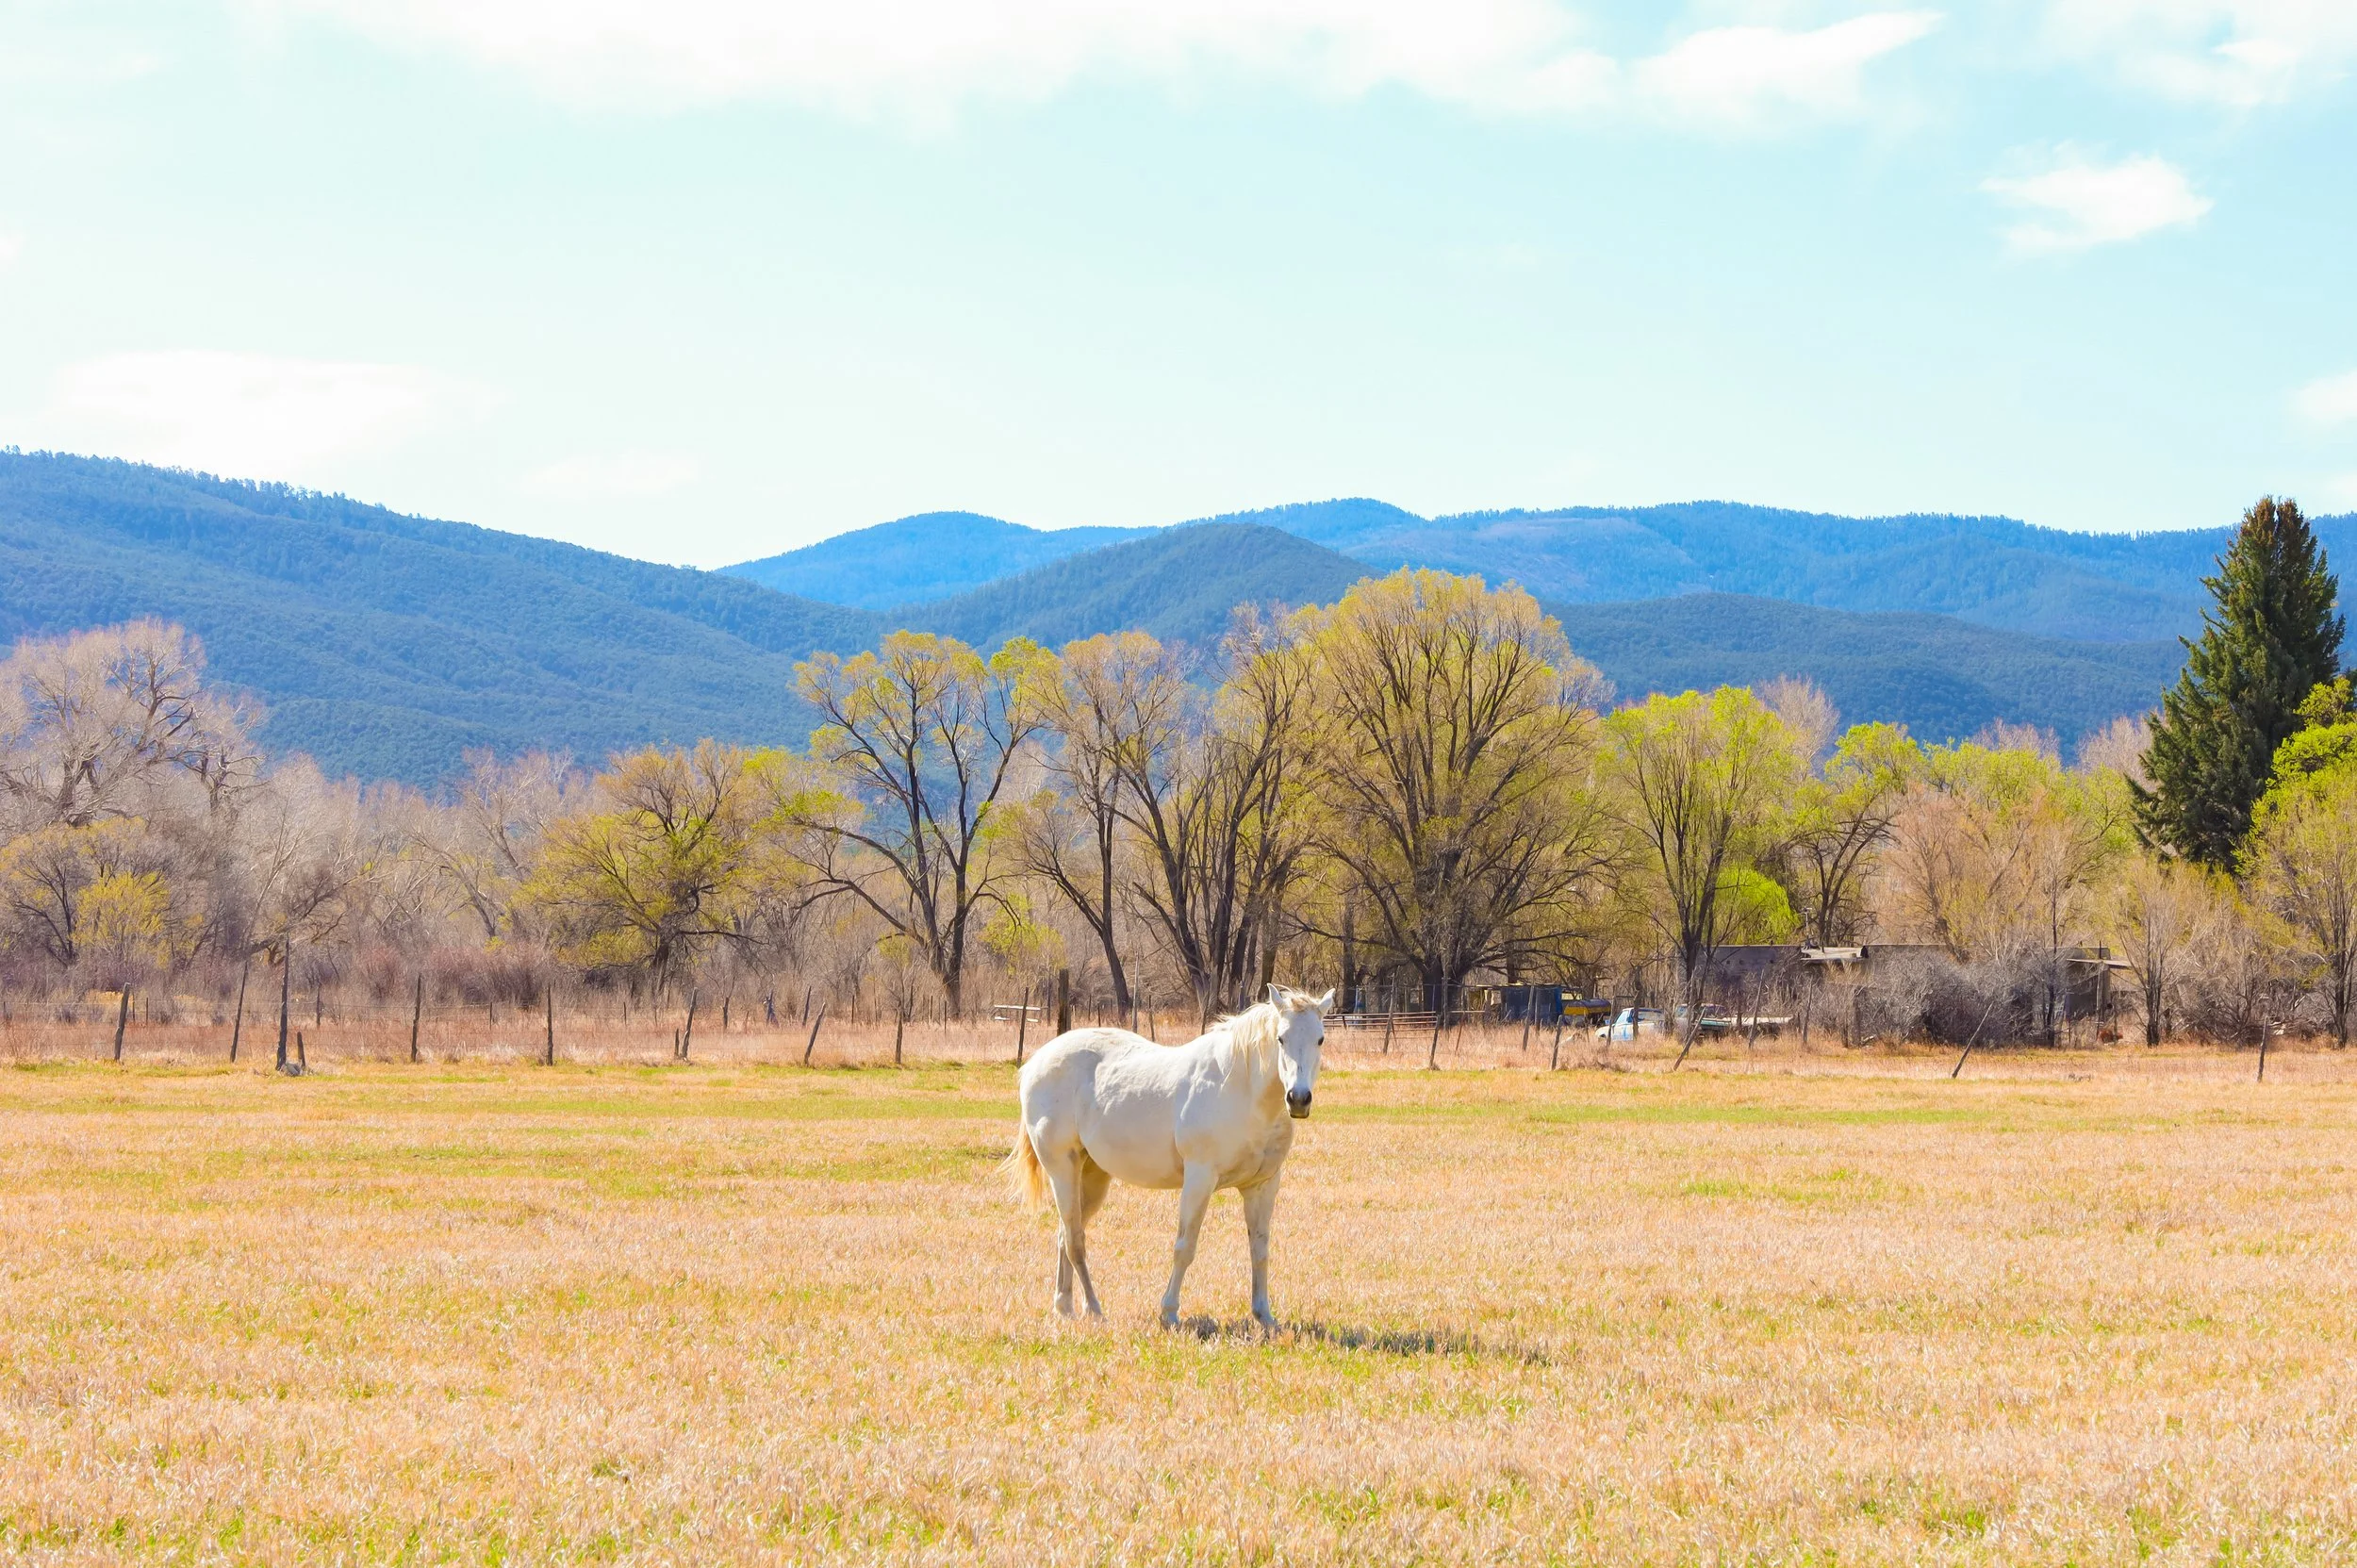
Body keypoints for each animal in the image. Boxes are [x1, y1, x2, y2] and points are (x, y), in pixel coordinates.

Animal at [1009, 984, 1334, 1328]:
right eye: (1281, 1038)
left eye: (1320, 1038)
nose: (1298, 1098)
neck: (1240, 1089)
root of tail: (1036, 1063)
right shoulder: (1199, 1180)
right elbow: (1185, 1247)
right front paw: (1169, 1312)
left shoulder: (1263, 1185)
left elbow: (1259, 1250)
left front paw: (1264, 1315)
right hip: (1062, 1170)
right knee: (1075, 1241)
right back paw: (1094, 1308)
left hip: (1092, 1177)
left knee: (1065, 1235)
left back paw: (1064, 1306)